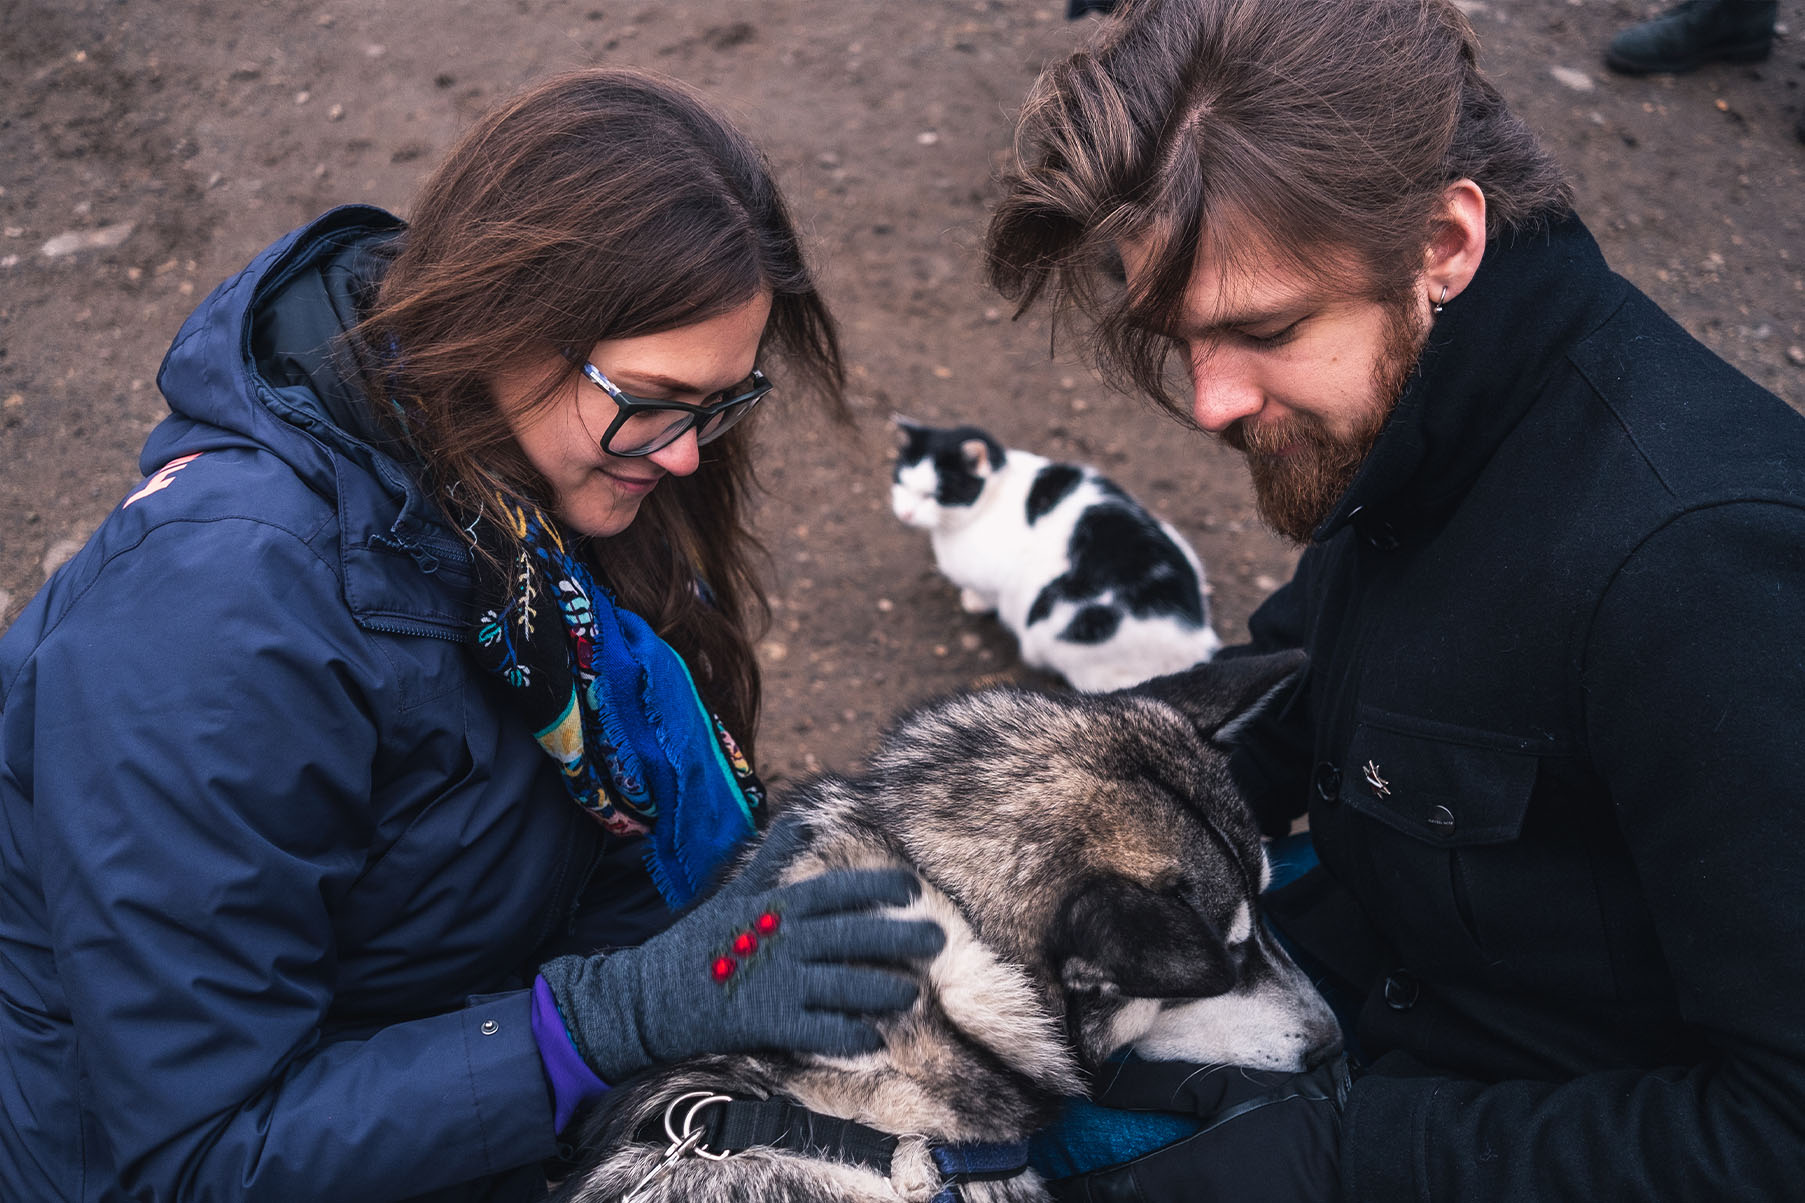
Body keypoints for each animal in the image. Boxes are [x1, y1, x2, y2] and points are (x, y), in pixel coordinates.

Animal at [891, 417, 1227, 690]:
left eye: (935, 495)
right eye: (901, 483)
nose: (905, 514)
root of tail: (1198, 637)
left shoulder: (994, 580)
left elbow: (986, 595)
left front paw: (973, 601)